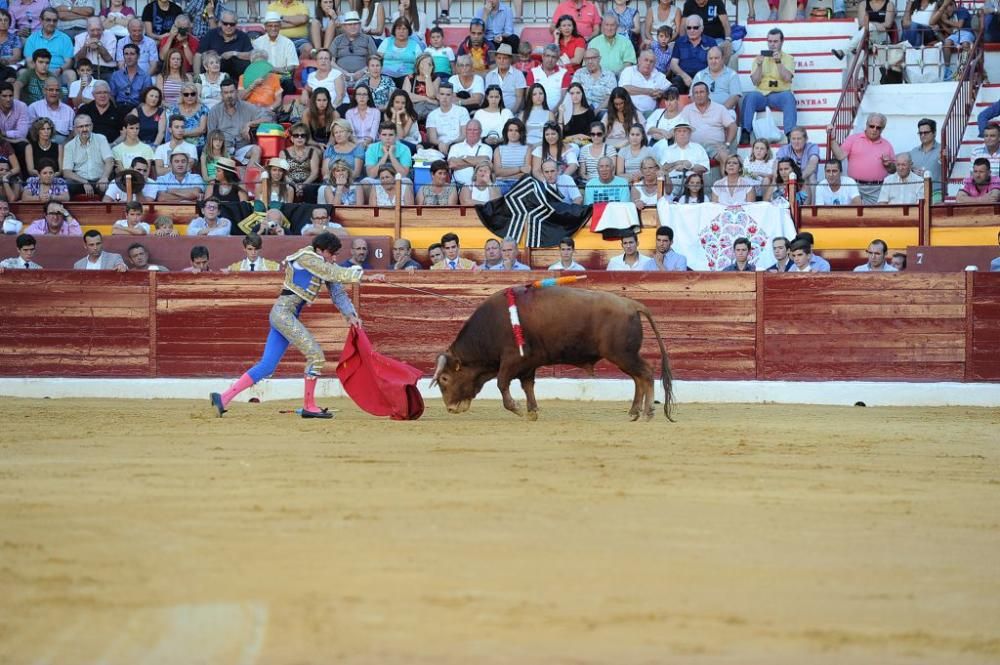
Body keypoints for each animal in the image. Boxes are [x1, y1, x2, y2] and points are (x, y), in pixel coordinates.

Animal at [428, 286, 672, 420]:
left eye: (445, 378)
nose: (450, 408)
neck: (491, 327)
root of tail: (632, 304)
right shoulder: (528, 365)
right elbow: (527, 386)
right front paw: (532, 411)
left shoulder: (512, 360)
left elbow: (502, 383)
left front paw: (517, 408)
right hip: (624, 356)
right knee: (638, 378)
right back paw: (634, 412)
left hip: (622, 354)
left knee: (645, 374)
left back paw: (647, 412)